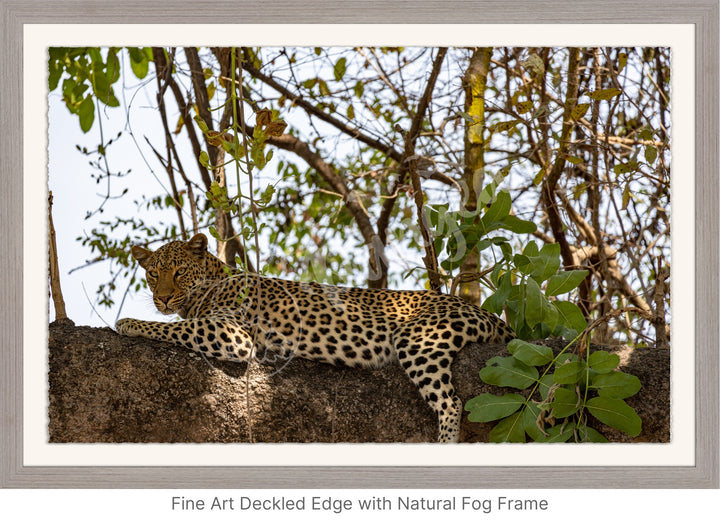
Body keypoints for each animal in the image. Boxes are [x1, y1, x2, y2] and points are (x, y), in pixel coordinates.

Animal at [115, 233, 516, 442]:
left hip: (420, 339)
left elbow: (174, 328)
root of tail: (487, 314)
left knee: (451, 402)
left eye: (178, 272)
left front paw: (128, 322)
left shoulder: (232, 333)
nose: (163, 298)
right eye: (153, 274)